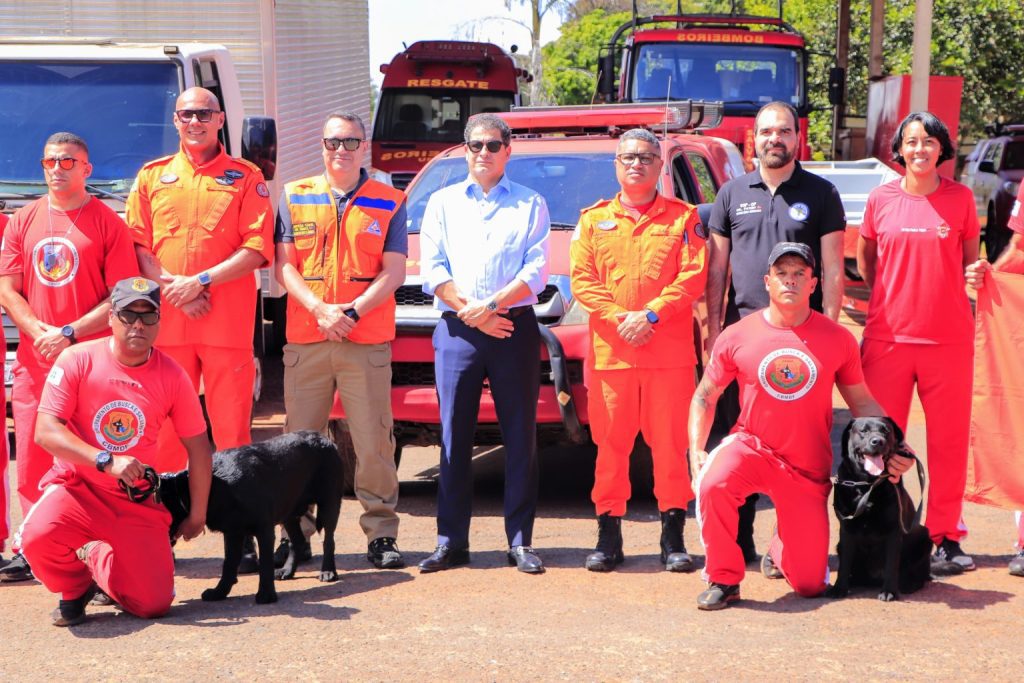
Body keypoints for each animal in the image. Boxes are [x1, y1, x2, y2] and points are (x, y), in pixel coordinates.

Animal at [160, 432, 344, 602]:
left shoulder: (264, 531)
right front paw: (219, 592)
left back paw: (328, 571)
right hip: (289, 513)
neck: (216, 484)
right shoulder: (233, 533)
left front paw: (266, 595)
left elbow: (265, 565)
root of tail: (324, 439)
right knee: (297, 542)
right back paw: (287, 570)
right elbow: (229, 564)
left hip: (329, 505)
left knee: (328, 541)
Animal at [827, 417, 933, 602]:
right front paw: (839, 588)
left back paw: (908, 584)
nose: (878, 441)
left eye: (886, 431)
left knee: (920, 575)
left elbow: (891, 564)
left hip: (924, 537)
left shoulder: (894, 530)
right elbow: (844, 563)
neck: (867, 485)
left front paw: (889, 591)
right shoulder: (847, 529)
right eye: (863, 431)